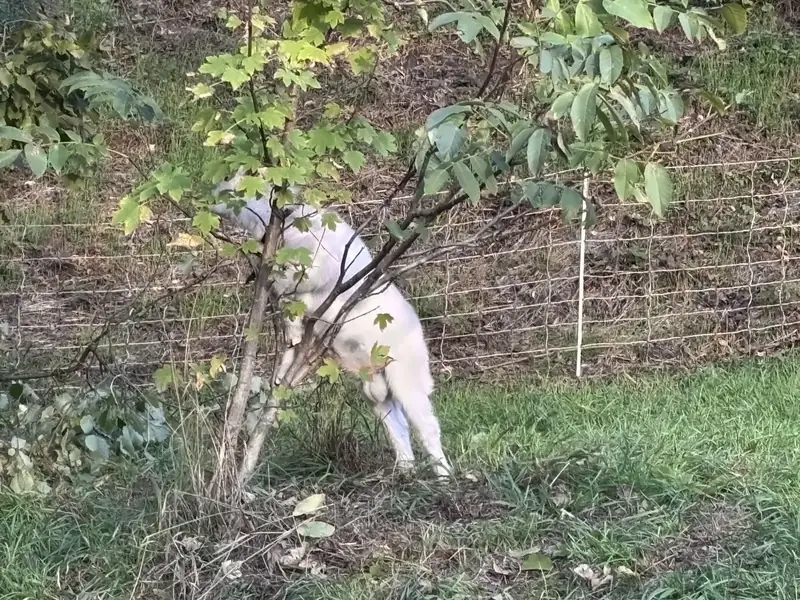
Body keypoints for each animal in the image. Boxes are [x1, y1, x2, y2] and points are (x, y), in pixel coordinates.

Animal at [210, 172, 452, 478]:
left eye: (230, 179)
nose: (209, 195)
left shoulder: (312, 275)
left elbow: (292, 295)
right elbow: (292, 332)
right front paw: (282, 371)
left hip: (407, 377)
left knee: (428, 427)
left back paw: (444, 477)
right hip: (376, 389)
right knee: (398, 427)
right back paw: (405, 473)